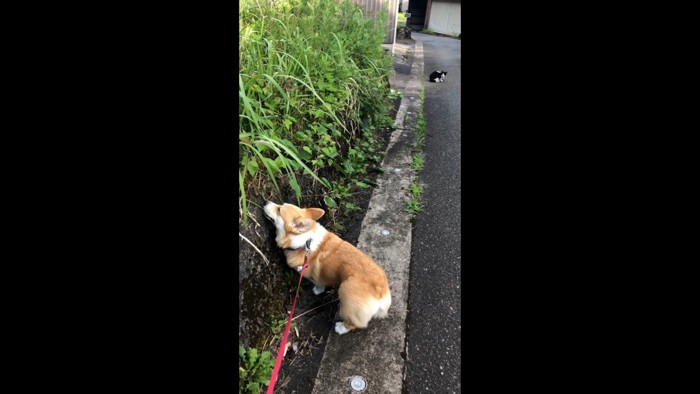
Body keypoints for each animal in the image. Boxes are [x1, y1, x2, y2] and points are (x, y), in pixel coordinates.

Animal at [266, 202, 392, 334]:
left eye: (279, 209)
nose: (266, 202)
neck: (304, 241)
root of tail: (380, 293)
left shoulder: (314, 277)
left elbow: (319, 284)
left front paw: (317, 291)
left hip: (345, 293)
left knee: (353, 323)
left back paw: (340, 328)